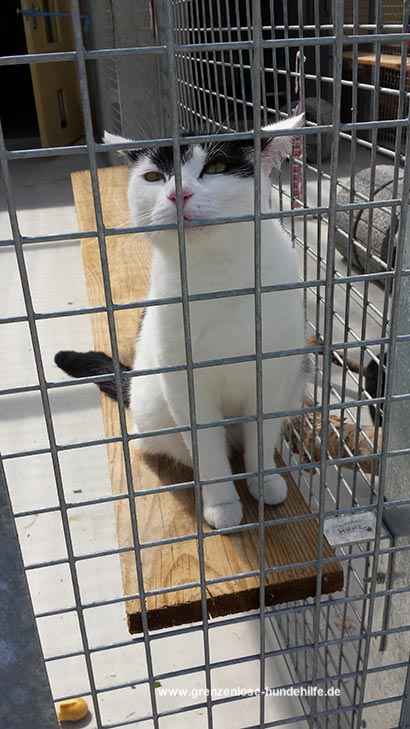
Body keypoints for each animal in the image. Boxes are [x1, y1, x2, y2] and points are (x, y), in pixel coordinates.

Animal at [55, 115, 306, 529]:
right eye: (154, 177)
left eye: (216, 168)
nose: (178, 194)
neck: (218, 277)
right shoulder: (185, 385)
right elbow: (207, 449)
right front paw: (222, 504)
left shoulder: (273, 375)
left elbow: (261, 435)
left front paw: (264, 480)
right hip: (152, 405)